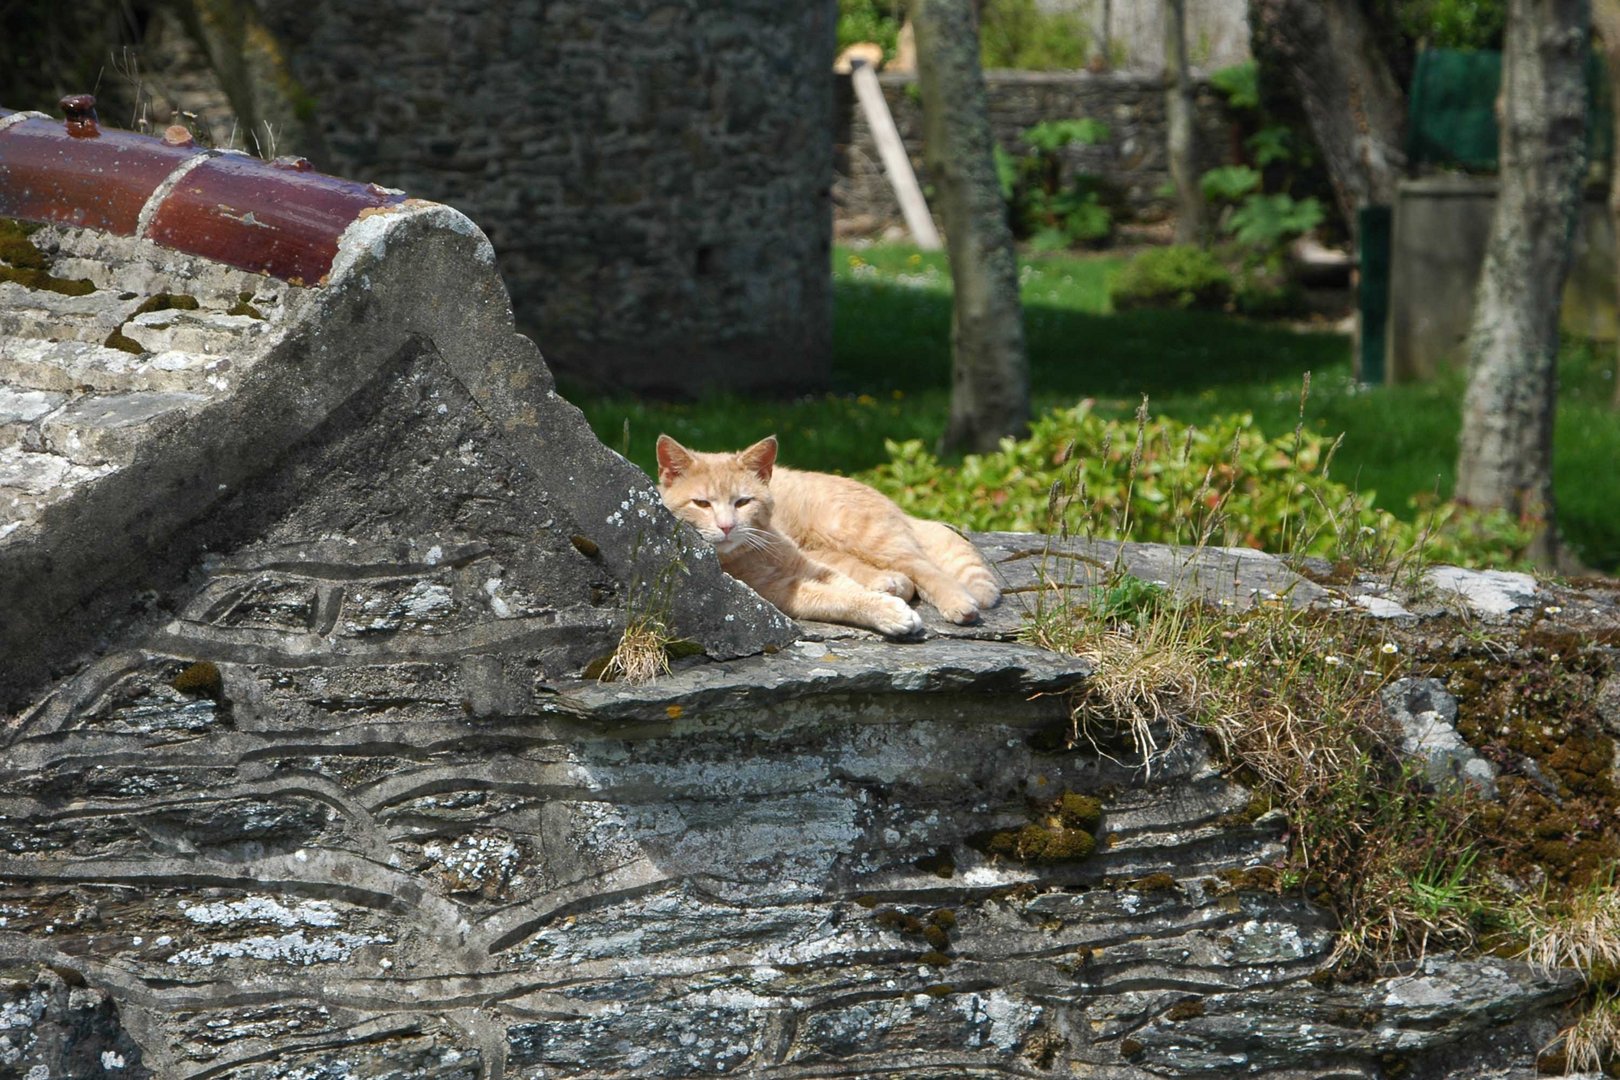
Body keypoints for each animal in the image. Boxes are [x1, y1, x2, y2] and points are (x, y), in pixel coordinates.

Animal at [657, 433, 997, 637]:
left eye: (742, 502)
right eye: (702, 503)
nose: (727, 526)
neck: (750, 553)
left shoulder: (809, 568)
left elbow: (848, 591)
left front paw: (883, 607)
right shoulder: (779, 591)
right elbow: (838, 598)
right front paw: (887, 609)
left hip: (864, 536)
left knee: (923, 568)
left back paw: (958, 602)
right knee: (901, 576)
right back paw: (889, 584)